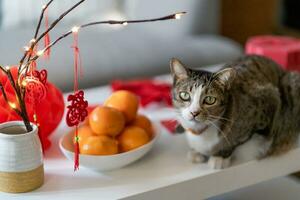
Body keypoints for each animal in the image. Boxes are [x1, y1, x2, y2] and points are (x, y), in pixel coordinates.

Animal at [170, 55, 300, 169]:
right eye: (184, 95)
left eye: (210, 99)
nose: (194, 112)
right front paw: (196, 152)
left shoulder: (268, 100)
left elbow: (238, 140)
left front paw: (220, 157)